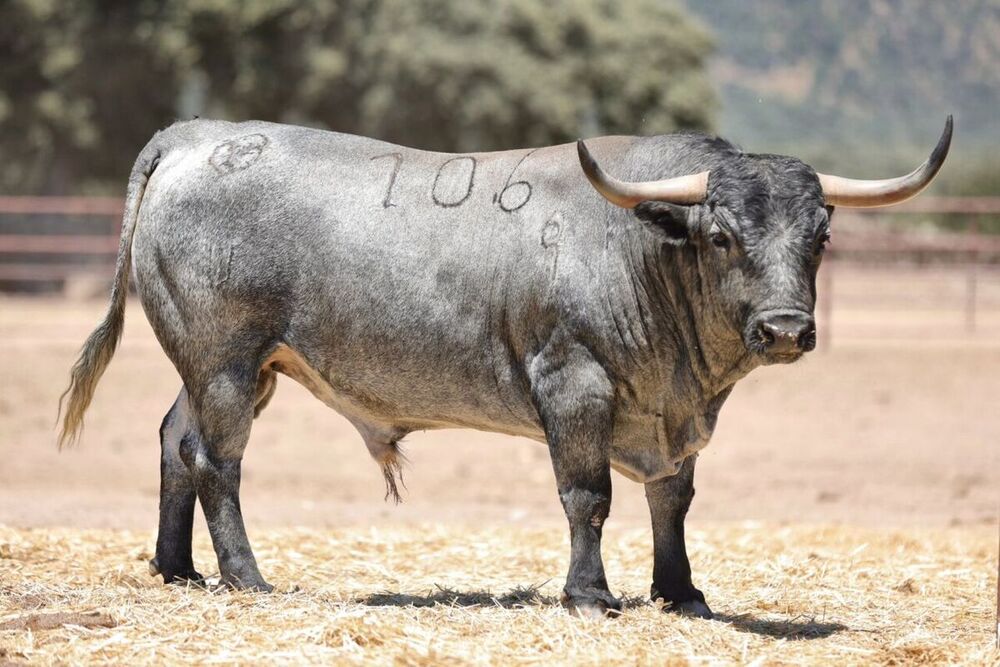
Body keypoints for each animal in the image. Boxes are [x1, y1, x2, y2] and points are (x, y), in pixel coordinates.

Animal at [58, 116, 948, 620]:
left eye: (821, 236)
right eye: (723, 234)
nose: (786, 327)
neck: (638, 247)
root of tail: (197, 134)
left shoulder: (676, 413)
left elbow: (672, 500)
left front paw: (682, 593)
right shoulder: (574, 384)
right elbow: (589, 496)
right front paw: (589, 594)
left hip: (229, 368)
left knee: (175, 441)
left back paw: (177, 569)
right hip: (226, 361)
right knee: (216, 460)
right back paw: (246, 577)